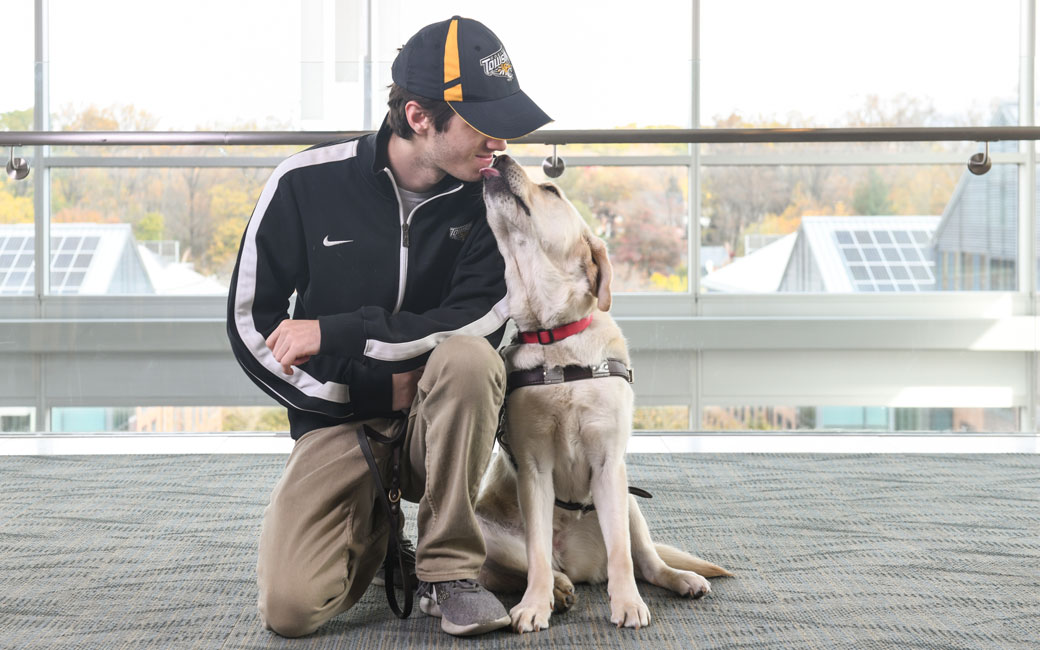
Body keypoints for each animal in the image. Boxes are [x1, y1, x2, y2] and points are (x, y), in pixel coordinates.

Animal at [476, 154, 728, 632]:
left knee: (646, 560)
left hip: (631, 504)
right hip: (487, 532)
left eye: (550, 190)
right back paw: (557, 589)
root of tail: (579, 566)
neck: (556, 337)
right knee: (518, 566)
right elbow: (536, 554)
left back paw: (680, 578)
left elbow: (622, 557)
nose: (499, 156)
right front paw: (535, 604)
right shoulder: (534, 470)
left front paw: (627, 603)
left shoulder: (610, 465)